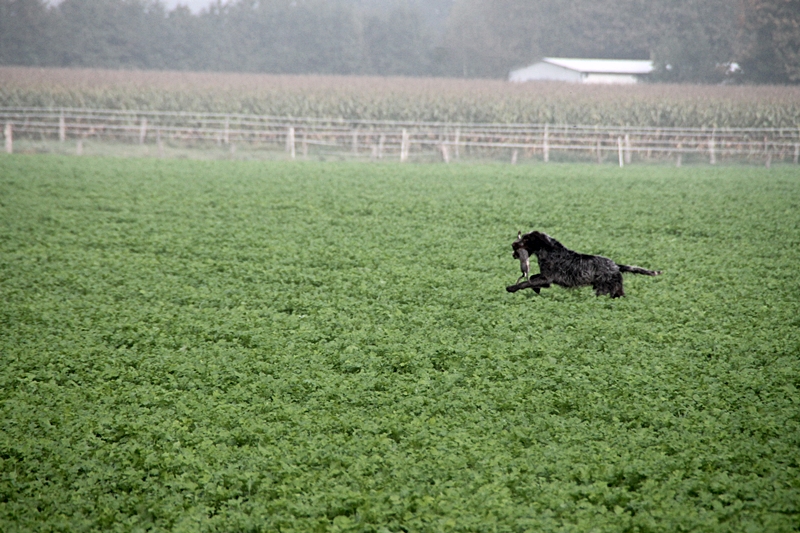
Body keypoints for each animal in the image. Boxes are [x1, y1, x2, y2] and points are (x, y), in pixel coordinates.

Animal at [506, 231, 664, 298]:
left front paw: (511, 288)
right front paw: (536, 289)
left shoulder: (547, 278)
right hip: (615, 290)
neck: (549, 250)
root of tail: (616, 266)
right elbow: (532, 277)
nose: (513, 244)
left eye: (526, 239)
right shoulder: (545, 277)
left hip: (603, 289)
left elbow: (525, 283)